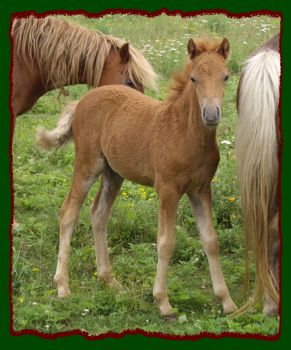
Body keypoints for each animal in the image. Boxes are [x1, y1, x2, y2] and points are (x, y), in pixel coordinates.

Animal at [36, 37, 238, 318]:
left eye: (226, 77)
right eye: (194, 78)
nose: (211, 114)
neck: (184, 133)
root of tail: (82, 100)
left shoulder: (201, 189)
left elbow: (211, 240)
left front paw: (227, 301)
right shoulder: (167, 190)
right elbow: (165, 242)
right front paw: (163, 301)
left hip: (113, 173)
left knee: (98, 213)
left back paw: (109, 279)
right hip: (88, 164)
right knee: (69, 212)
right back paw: (62, 286)